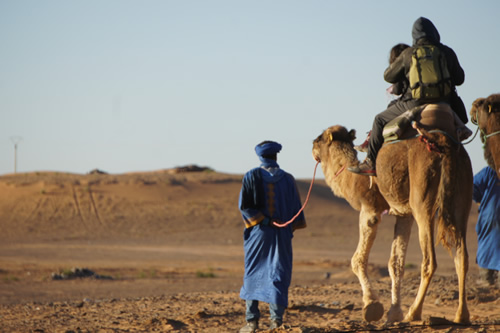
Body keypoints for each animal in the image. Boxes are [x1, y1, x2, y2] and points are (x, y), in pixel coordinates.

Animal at [312, 103, 472, 322]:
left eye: (320, 138)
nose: (312, 145)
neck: (352, 178)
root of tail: (444, 143)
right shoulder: (404, 214)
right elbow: (395, 263)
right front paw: (394, 313)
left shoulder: (370, 209)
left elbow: (357, 260)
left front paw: (372, 305)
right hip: (462, 193)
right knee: (462, 257)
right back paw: (461, 315)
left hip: (422, 197)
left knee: (429, 261)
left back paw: (414, 313)